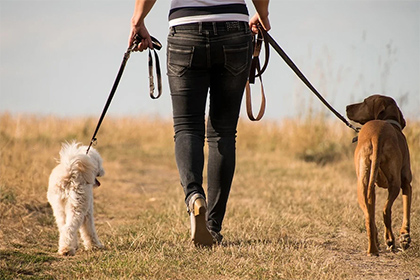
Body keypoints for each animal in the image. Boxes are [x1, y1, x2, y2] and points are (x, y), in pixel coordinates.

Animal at [346, 94, 412, 256]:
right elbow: (406, 211)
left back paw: (373, 249)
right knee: (385, 211)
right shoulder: (406, 183)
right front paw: (405, 237)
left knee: (369, 217)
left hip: (362, 185)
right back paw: (390, 241)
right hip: (395, 184)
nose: (346, 107)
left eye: (364, 102)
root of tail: (377, 135)